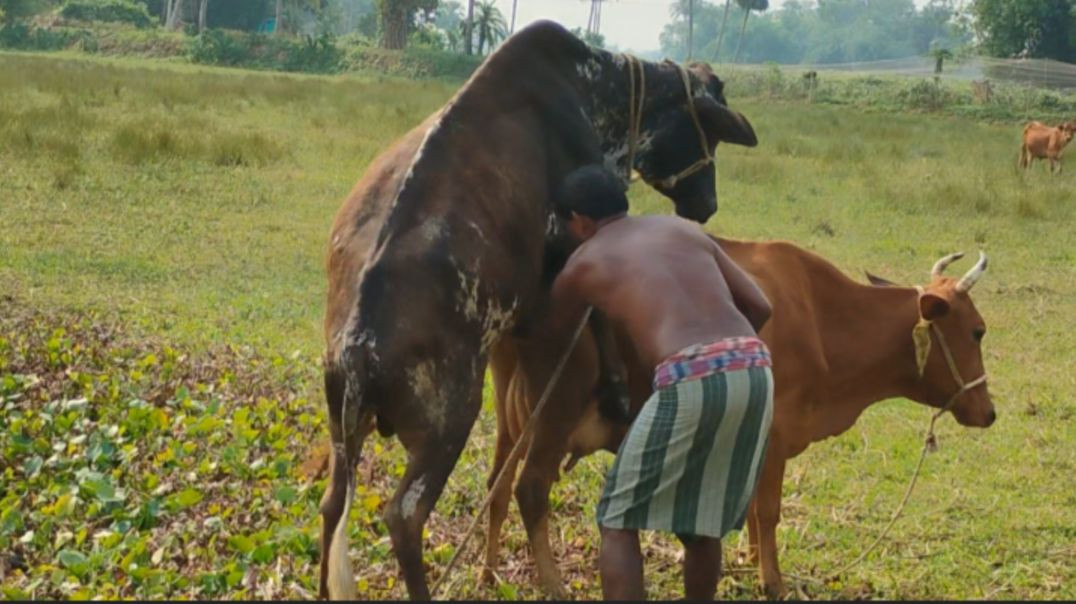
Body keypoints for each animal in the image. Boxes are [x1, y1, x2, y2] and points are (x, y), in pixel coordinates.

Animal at [318, 20, 759, 600]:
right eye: (708, 129)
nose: (706, 204)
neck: (596, 88)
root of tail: (357, 345)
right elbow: (598, 318)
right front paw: (616, 389)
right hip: (449, 420)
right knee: (405, 516)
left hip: (344, 429)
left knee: (331, 505)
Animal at [483, 240, 995, 599]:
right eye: (977, 331)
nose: (989, 412)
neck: (822, 319)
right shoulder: (777, 433)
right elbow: (767, 511)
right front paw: (773, 580)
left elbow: (750, 508)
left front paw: (749, 564)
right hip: (554, 414)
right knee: (530, 490)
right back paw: (552, 583)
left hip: (512, 419)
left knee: (498, 487)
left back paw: (488, 572)